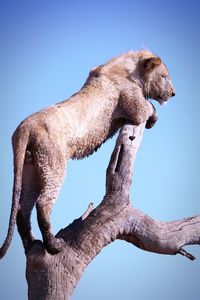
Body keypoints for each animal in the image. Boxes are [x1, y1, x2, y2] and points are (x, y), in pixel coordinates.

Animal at [0, 50, 175, 256]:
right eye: (164, 76)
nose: (173, 93)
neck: (131, 69)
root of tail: (25, 126)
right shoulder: (133, 105)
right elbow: (149, 108)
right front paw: (152, 120)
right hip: (52, 162)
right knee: (43, 203)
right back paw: (53, 245)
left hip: (31, 167)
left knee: (23, 209)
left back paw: (31, 244)